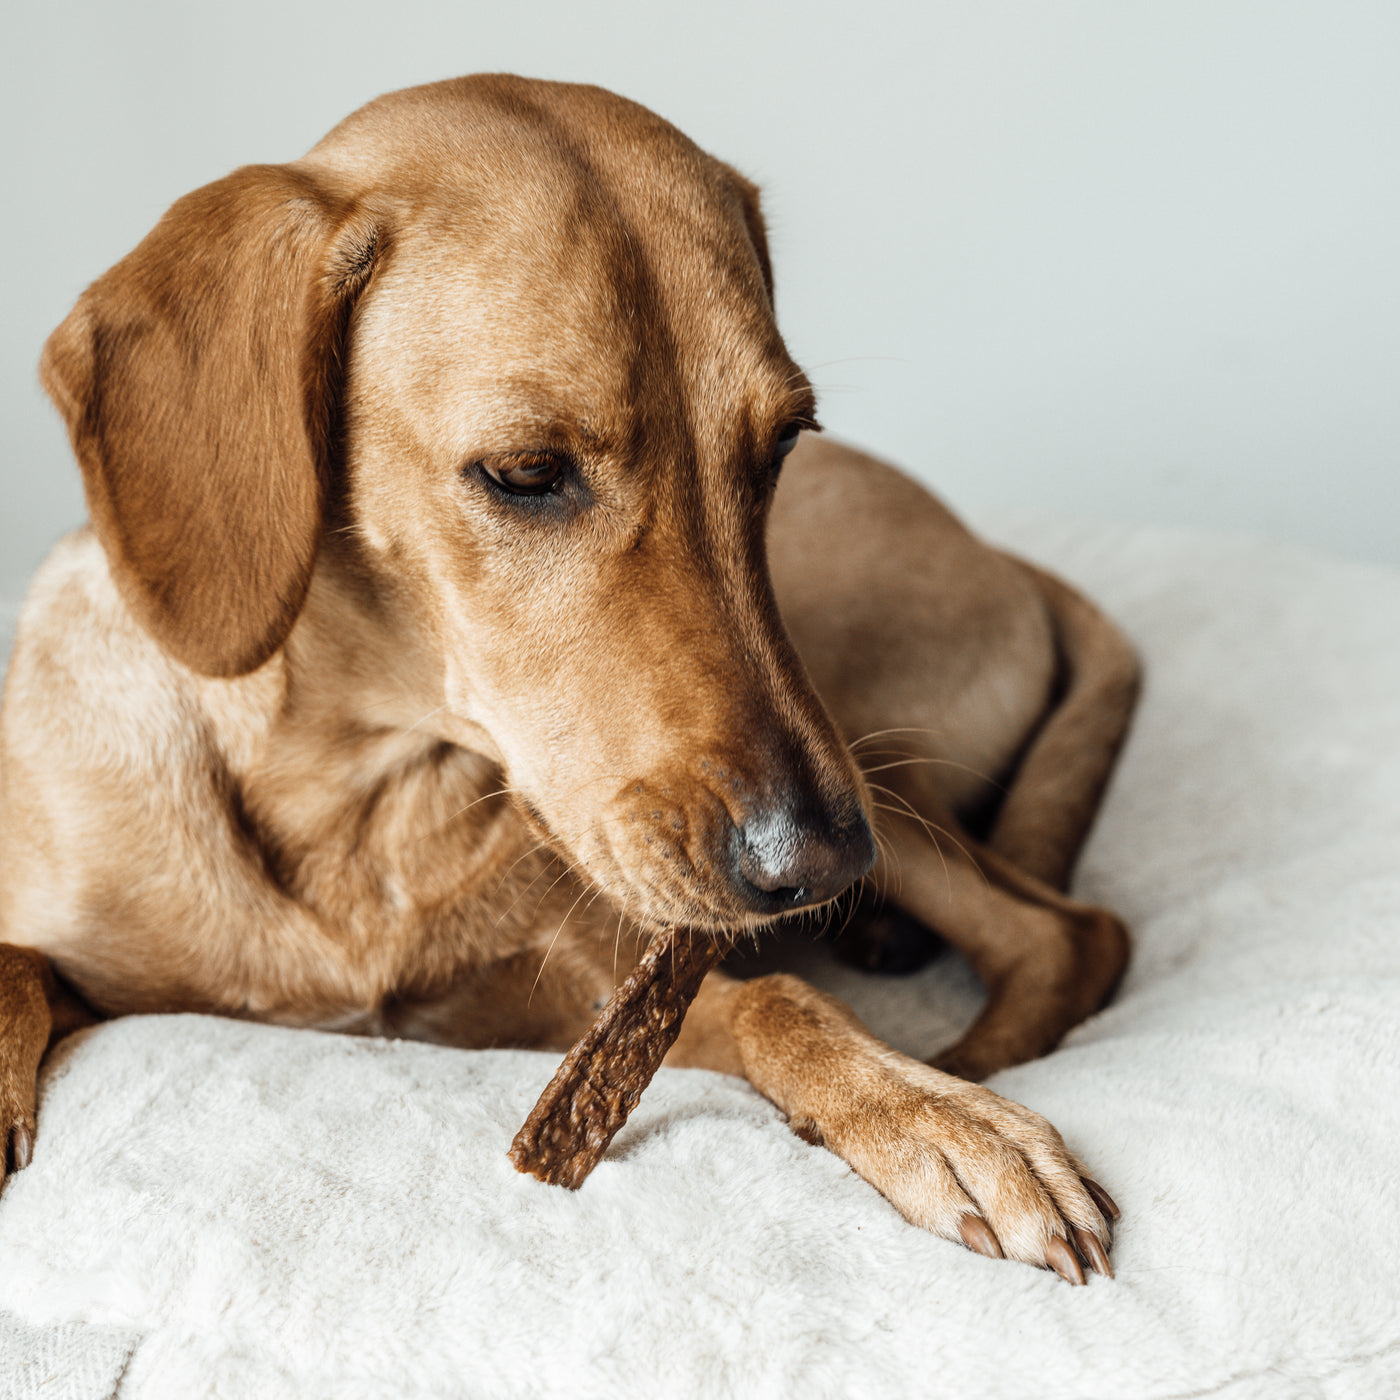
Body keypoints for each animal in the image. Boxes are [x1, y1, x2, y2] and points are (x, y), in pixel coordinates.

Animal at [0, 73, 1136, 1282]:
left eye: (782, 443)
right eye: (525, 472)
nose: (818, 865)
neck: (357, 808)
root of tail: (1000, 554)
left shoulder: (594, 1001)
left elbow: (781, 1002)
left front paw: (933, 1111)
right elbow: (14, 967)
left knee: (1069, 931)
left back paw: (961, 1048)